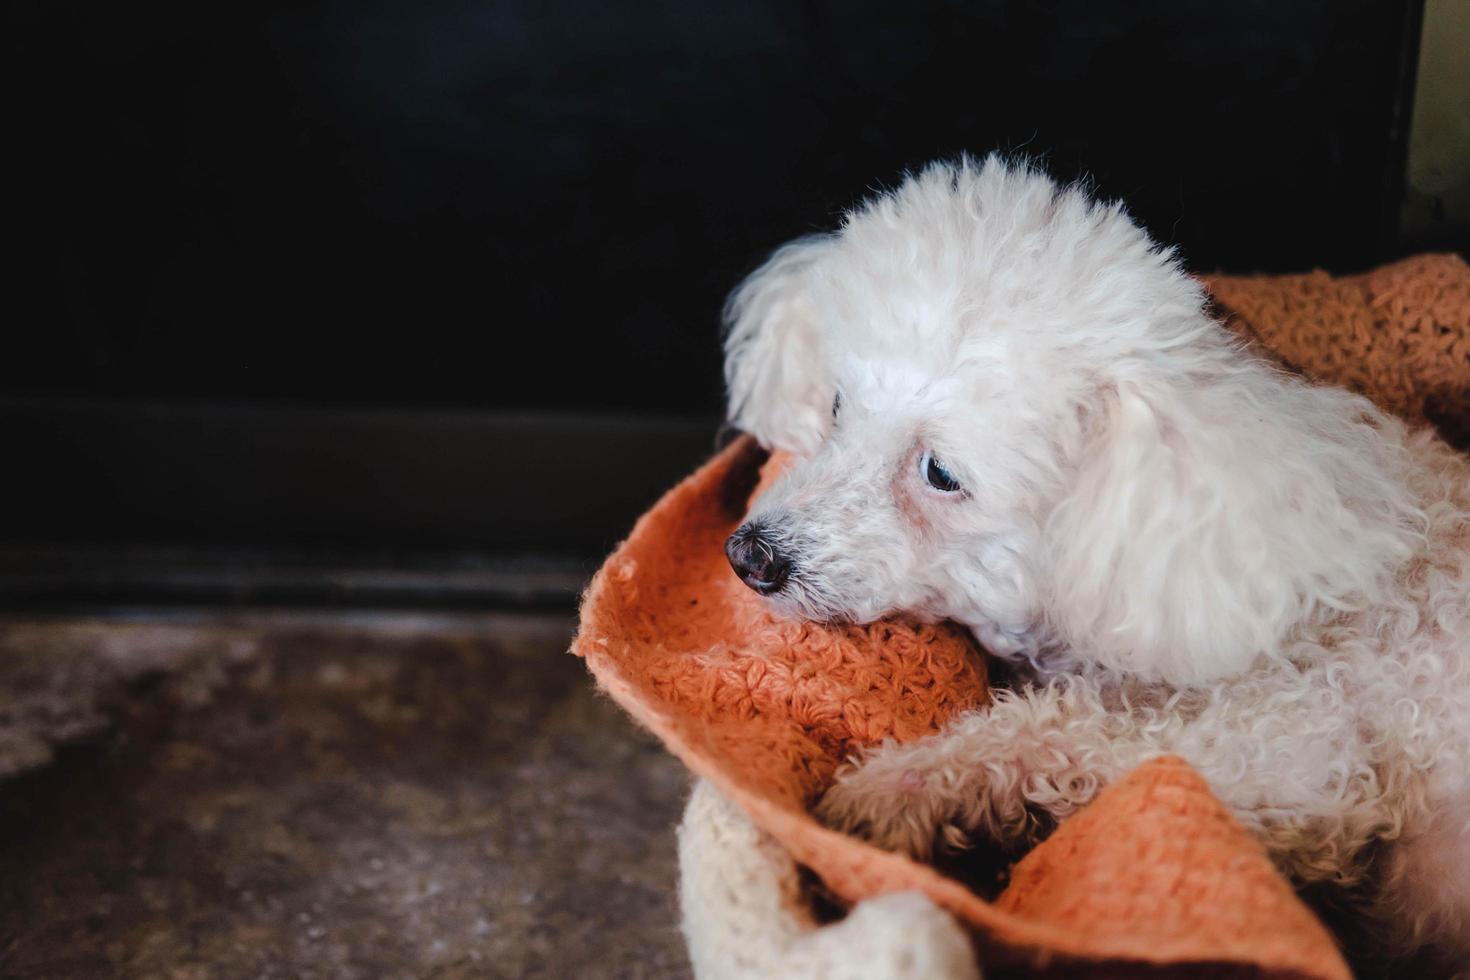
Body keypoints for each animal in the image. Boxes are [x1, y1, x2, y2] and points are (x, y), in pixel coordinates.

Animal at [723, 159, 1470, 963]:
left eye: (941, 474)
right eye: (838, 406)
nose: (749, 554)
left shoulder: (1302, 755)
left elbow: (1075, 734)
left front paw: (893, 788)